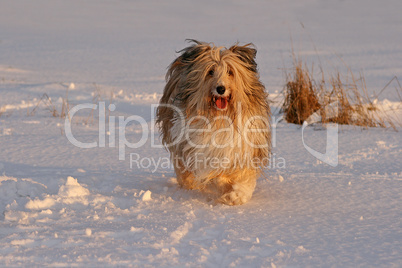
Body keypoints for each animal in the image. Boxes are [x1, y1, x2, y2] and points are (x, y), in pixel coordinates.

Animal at [155, 39, 272, 204]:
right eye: (210, 72)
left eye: (230, 71)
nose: (220, 89)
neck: (220, 118)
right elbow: (214, 173)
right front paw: (223, 186)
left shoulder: (246, 144)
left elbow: (244, 176)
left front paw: (237, 196)